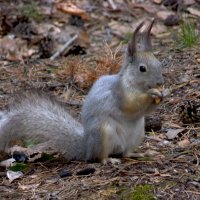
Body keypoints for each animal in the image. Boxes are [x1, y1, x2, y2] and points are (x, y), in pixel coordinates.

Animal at [0, 20, 165, 164]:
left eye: (159, 63)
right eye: (142, 68)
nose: (160, 83)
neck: (138, 86)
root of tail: (87, 148)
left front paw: (163, 94)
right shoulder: (120, 93)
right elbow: (131, 104)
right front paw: (153, 94)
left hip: (138, 133)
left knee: (125, 152)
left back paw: (137, 153)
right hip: (103, 132)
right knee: (99, 157)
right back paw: (108, 160)